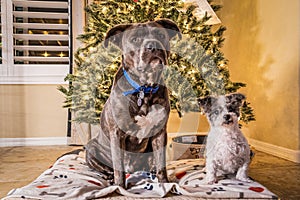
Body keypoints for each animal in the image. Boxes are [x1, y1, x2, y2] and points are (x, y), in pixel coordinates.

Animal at [85, 19, 182, 188]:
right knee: (108, 168)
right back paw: (110, 178)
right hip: (90, 147)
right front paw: (119, 188)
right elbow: (118, 167)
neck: (144, 89)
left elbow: (161, 163)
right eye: (135, 39)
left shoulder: (159, 133)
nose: (153, 45)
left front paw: (165, 184)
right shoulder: (117, 133)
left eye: (160, 35)